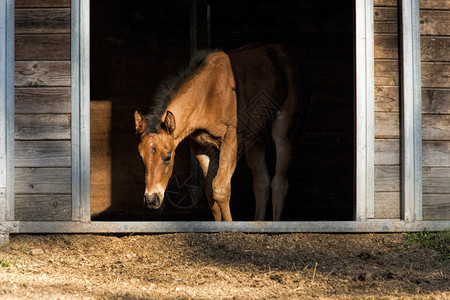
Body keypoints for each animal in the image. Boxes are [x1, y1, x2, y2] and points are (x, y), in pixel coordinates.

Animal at [134, 44, 310, 220]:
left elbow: (220, 188)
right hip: (255, 139)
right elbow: (210, 192)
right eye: (140, 156)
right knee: (261, 183)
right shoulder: (201, 147)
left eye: (168, 157)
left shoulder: (232, 138)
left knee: (279, 182)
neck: (207, 96)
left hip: (286, 130)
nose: (151, 199)